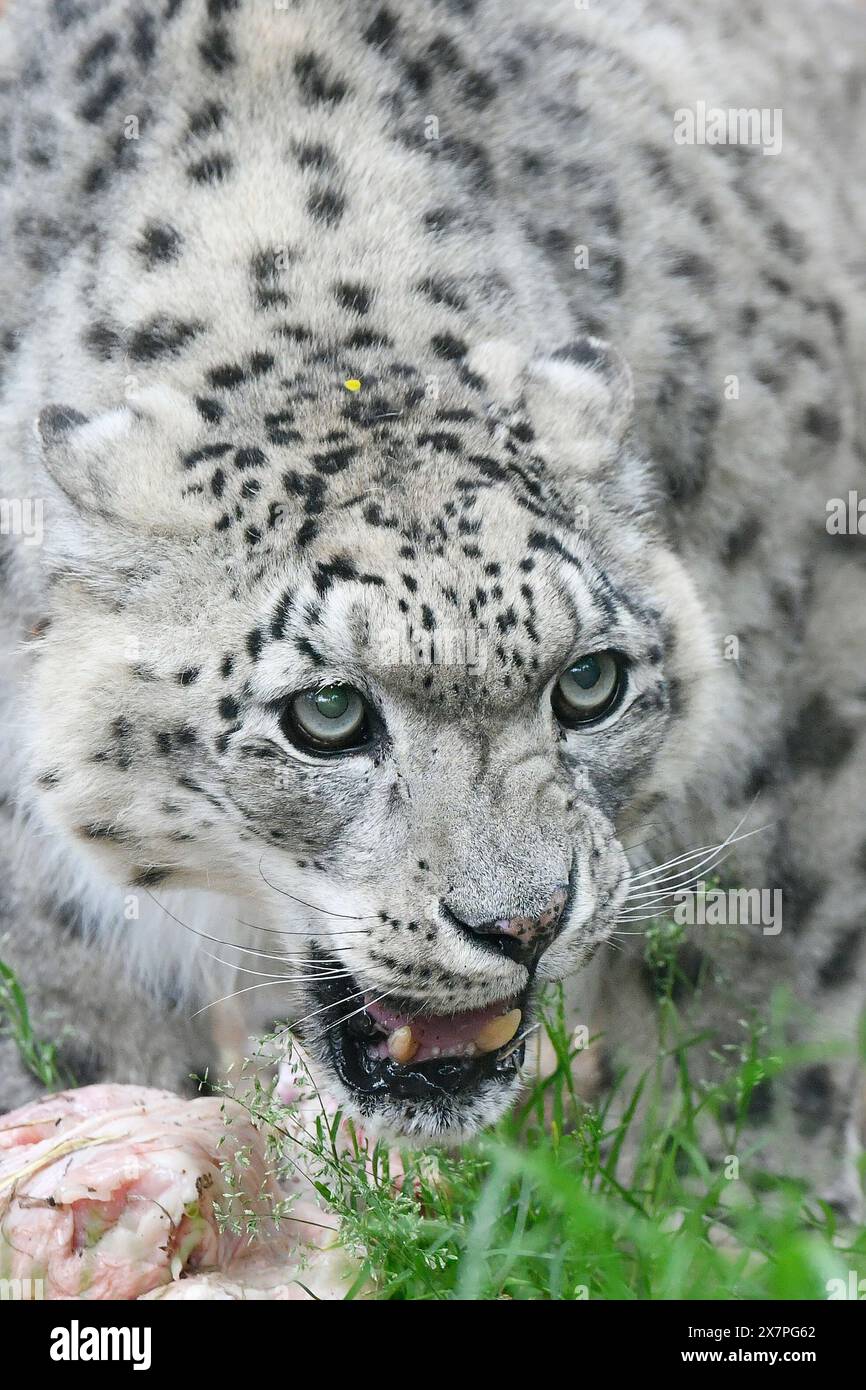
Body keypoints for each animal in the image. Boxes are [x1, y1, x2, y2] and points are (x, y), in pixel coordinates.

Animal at [1, 0, 866, 1212]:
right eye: (325, 714)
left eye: (589, 682)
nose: (523, 923)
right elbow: (76, 1029)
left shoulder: (801, 655)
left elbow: (752, 983)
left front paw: (734, 1207)